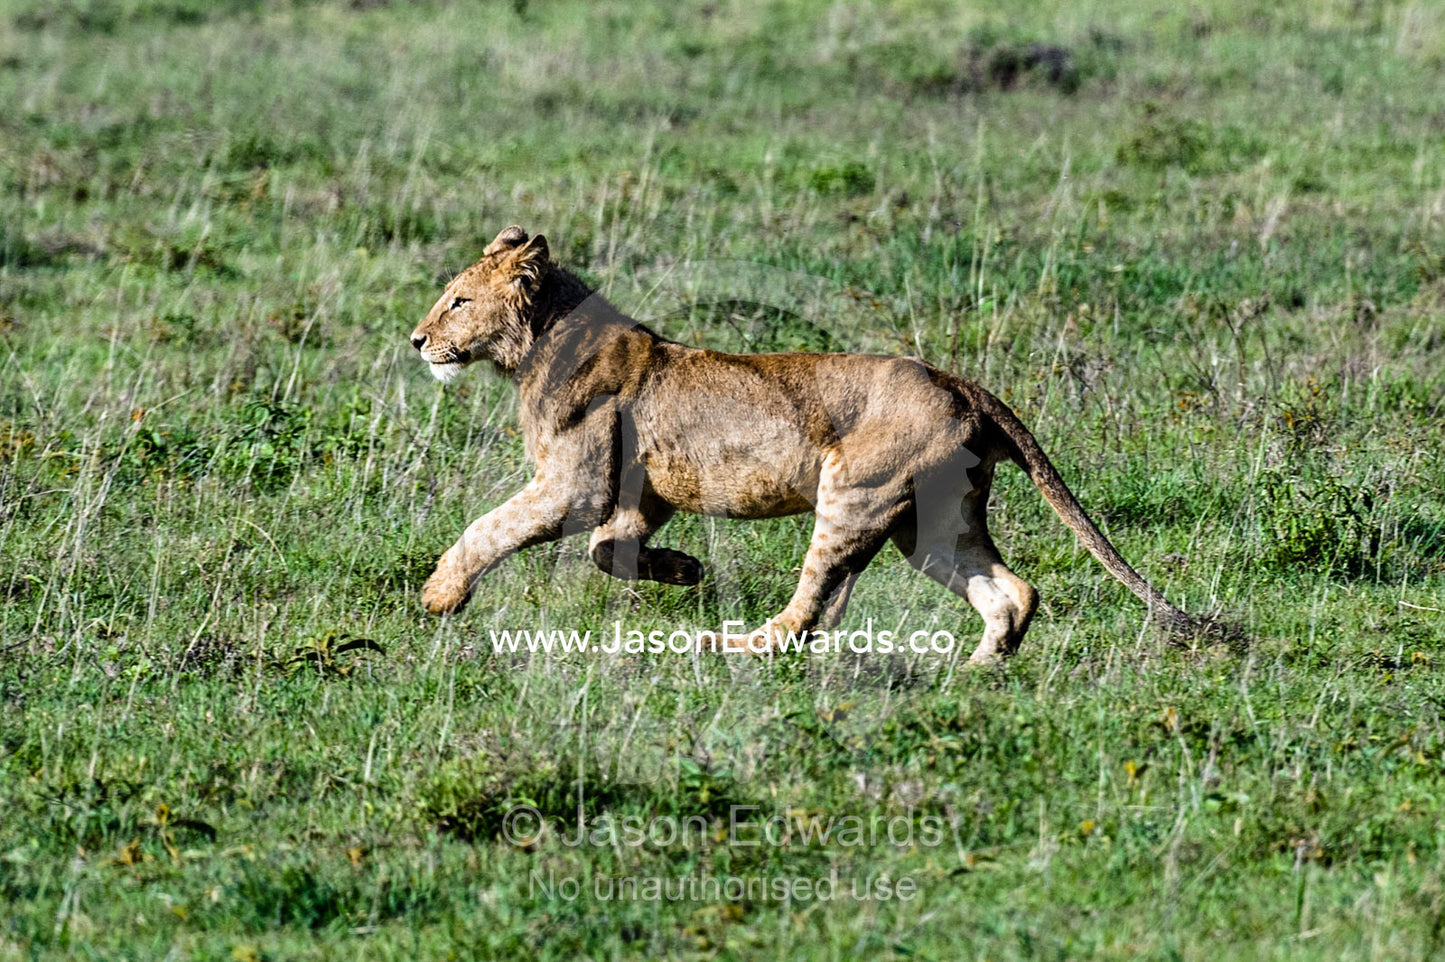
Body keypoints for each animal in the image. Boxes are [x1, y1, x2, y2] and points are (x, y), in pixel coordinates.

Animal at [408, 225, 1202, 663]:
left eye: (459, 301)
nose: (416, 340)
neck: (537, 345)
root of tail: (965, 386)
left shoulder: (576, 485)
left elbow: (490, 528)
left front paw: (439, 594)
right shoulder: (641, 491)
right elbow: (610, 549)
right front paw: (684, 569)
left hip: (853, 493)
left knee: (807, 617)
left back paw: (724, 648)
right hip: (931, 522)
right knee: (1011, 591)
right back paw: (976, 675)